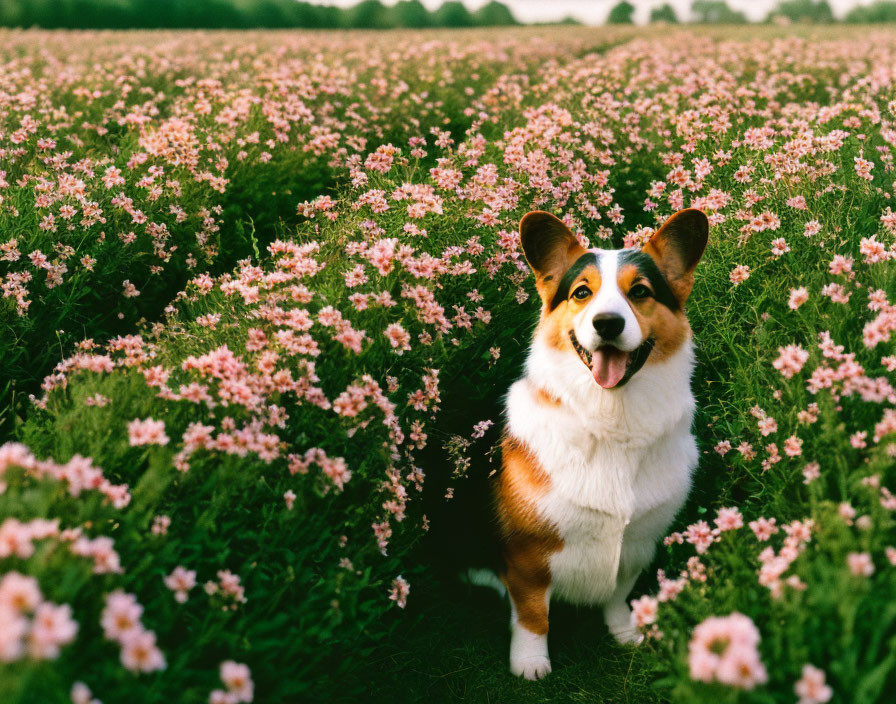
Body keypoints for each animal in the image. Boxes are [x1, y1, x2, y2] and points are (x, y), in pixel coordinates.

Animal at [494, 206, 704, 680]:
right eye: (581, 293)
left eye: (640, 292)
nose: (607, 323)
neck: (613, 417)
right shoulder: (526, 556)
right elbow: (533, 614)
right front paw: (530, 664)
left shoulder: (638, 545)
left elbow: (617, 595)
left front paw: (627, 633)